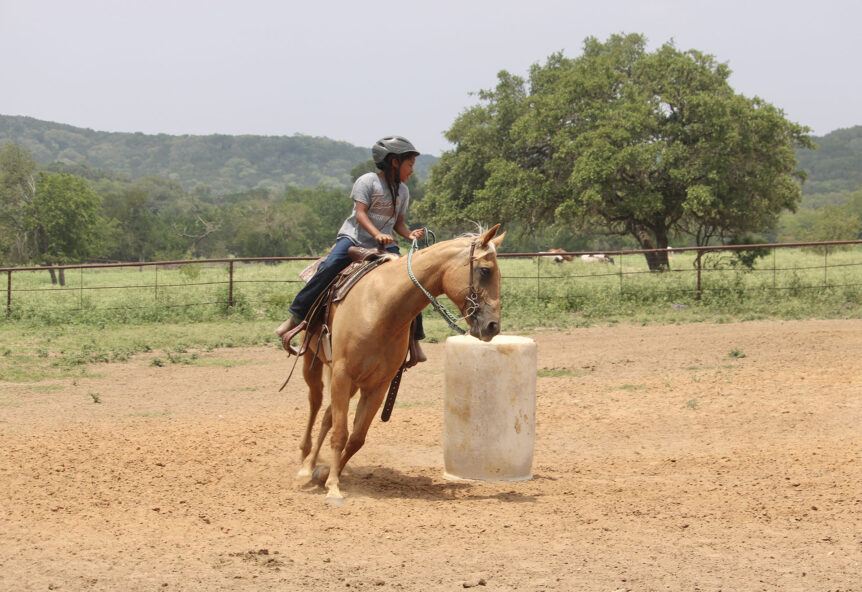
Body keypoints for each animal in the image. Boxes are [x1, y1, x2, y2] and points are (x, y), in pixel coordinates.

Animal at [294, 224, 506, 502]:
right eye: (485, 270)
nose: (493, 326)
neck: (381, 308)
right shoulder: (342, 373)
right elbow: (340, 434)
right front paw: (333, 487)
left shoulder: (378, 385)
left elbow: (356, 438)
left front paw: (328, 474)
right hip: (313, 360)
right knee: (315, 402)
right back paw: (305, 464)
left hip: (352, 383)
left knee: (328, 415)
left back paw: (313, 466)